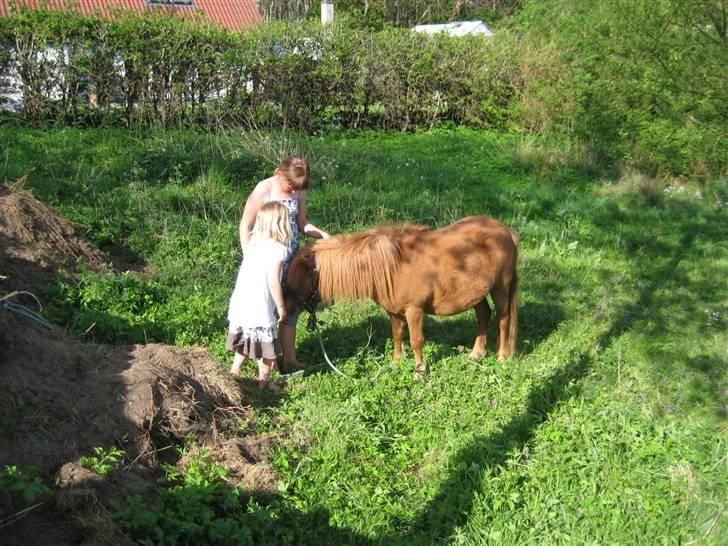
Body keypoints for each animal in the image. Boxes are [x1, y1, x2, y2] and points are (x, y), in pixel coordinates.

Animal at [284, 215, 516, 376]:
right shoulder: (393, 312)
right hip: (476, 293)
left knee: (503, 320)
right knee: (483, 315)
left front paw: (420, 372)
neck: (393, 266)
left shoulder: (414, 311)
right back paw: (476, 353)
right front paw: (397, 362)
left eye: (298, 276)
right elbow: (396, 335)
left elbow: (416, 341)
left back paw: (502, 357)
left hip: (501, 289)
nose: (287, 307)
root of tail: (506, 231)